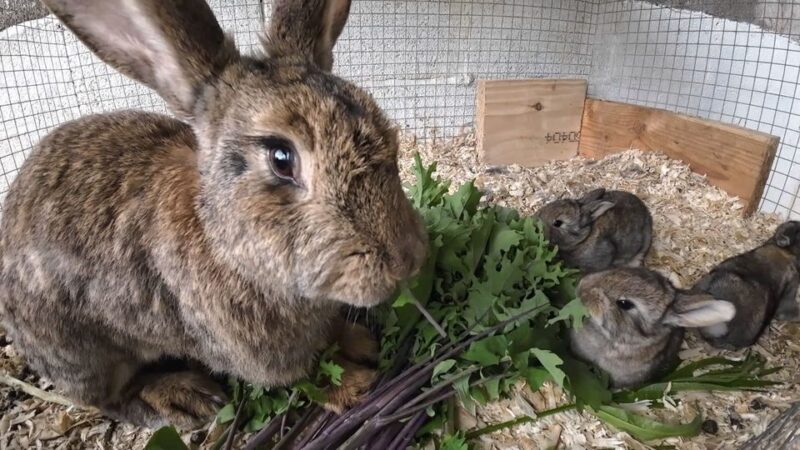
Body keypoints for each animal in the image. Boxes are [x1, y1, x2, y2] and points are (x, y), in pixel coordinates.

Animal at [0, 0, 428, 430]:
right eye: (281, 158)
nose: (405, 261)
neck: (224, 242)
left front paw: (360, 342)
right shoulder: (256, 354)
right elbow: (308, 373)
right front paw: (355, 385)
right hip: (83, 354)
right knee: (109, 399)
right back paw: (181, 399)